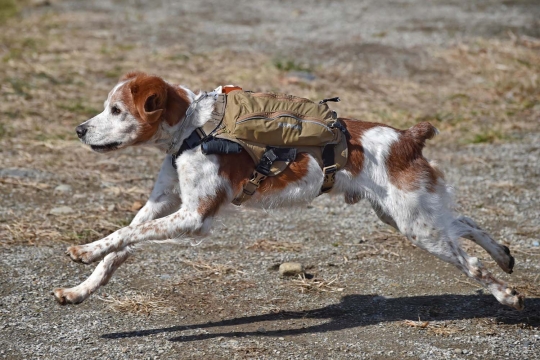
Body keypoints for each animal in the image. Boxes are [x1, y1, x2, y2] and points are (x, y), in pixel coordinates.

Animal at [52, 72, 524, 310]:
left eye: (116, 110)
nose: (78, 129)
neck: (191, 130)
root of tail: (407, 138)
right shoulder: (163, 204)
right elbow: (121, 245)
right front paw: (81, 289)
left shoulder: (194, 216)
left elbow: (123, 236)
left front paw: (84, 251)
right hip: (402, 216)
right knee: (464, 222)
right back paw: (504, 256)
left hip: (415, 226)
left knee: (469, 260)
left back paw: (505, 293)